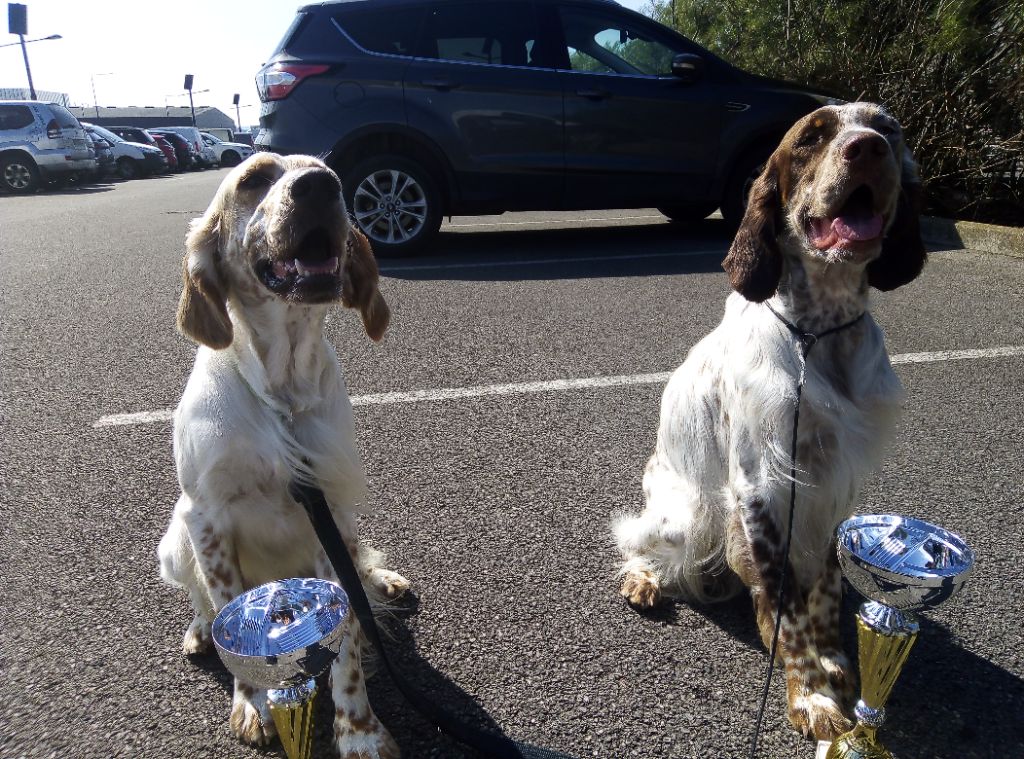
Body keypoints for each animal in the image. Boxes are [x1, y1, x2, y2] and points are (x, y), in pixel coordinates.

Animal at [157, 150, 405, 753]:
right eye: (252, 180)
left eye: (327, 170)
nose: (321, 185)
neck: (282, 391)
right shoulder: (206, 516)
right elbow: (225, 603)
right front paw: (254, 706)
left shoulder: (332, 512)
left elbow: (347, 644)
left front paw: (358, 730)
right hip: (174, 541)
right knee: (197, 596)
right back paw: (199, 630)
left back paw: (381, 579)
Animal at [614, 103, 929, 737]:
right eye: (812, 137)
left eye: (887, 128)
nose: (867, 148)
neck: (819, 334)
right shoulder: (763, 483)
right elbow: (788, 609)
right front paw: (811, 696)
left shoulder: (833, 485)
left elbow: (823, 590)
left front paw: (832, 663)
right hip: (689, 511)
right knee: (635, 538)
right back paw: (645, 578)